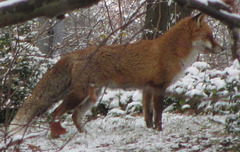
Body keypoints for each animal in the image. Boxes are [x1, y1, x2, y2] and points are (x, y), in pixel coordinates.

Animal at [8, 13, 221, 138]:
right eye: (209, 36)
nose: (222, 48)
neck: (171, 51)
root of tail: (73, 53)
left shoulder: (147, 88)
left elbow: (148, 114)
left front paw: (149, 131)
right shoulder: (159, 87)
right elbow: (159, 114)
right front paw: (160, 132)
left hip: (91, 96)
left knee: (75, 115)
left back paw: (85, 134)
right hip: (79, 95)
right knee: (56, 113)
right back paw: (56, 135)